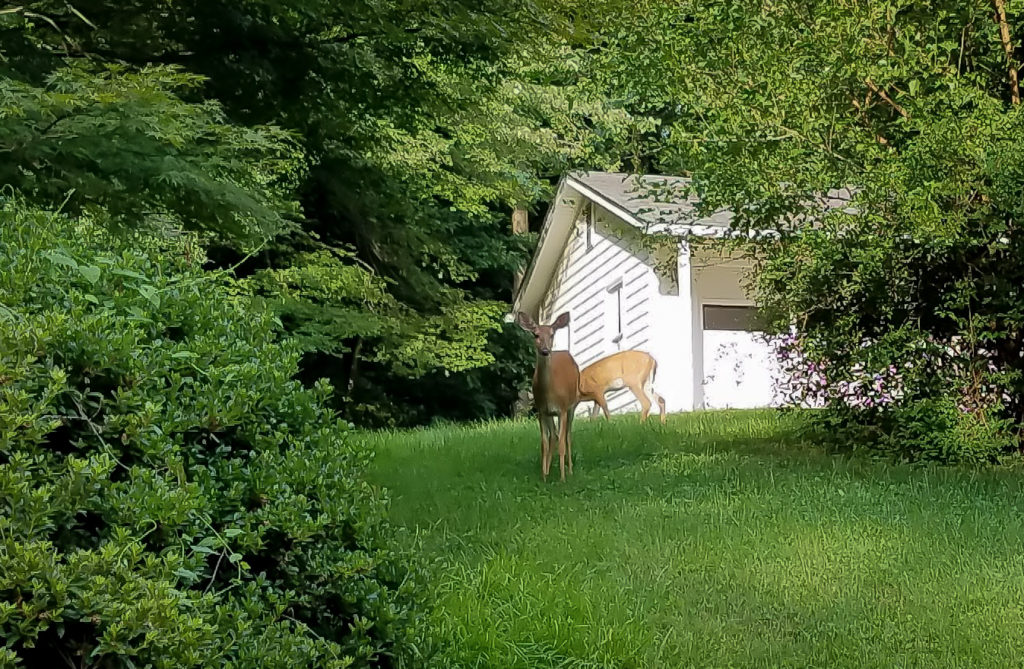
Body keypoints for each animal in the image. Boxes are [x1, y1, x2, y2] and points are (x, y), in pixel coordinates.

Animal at [516, 311, 581, 483]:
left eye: (552, 334)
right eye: (536, 334)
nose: (545, 351)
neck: (549, 392)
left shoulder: (562, 409)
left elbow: (562, 444)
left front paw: (563, 478)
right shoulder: (541, 411)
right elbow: (544, 444)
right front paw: (544, 476)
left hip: (573, 405)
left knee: (567, 436)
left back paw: (570, 470)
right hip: (550, 414)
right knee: (554, 436)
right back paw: (548, 470)